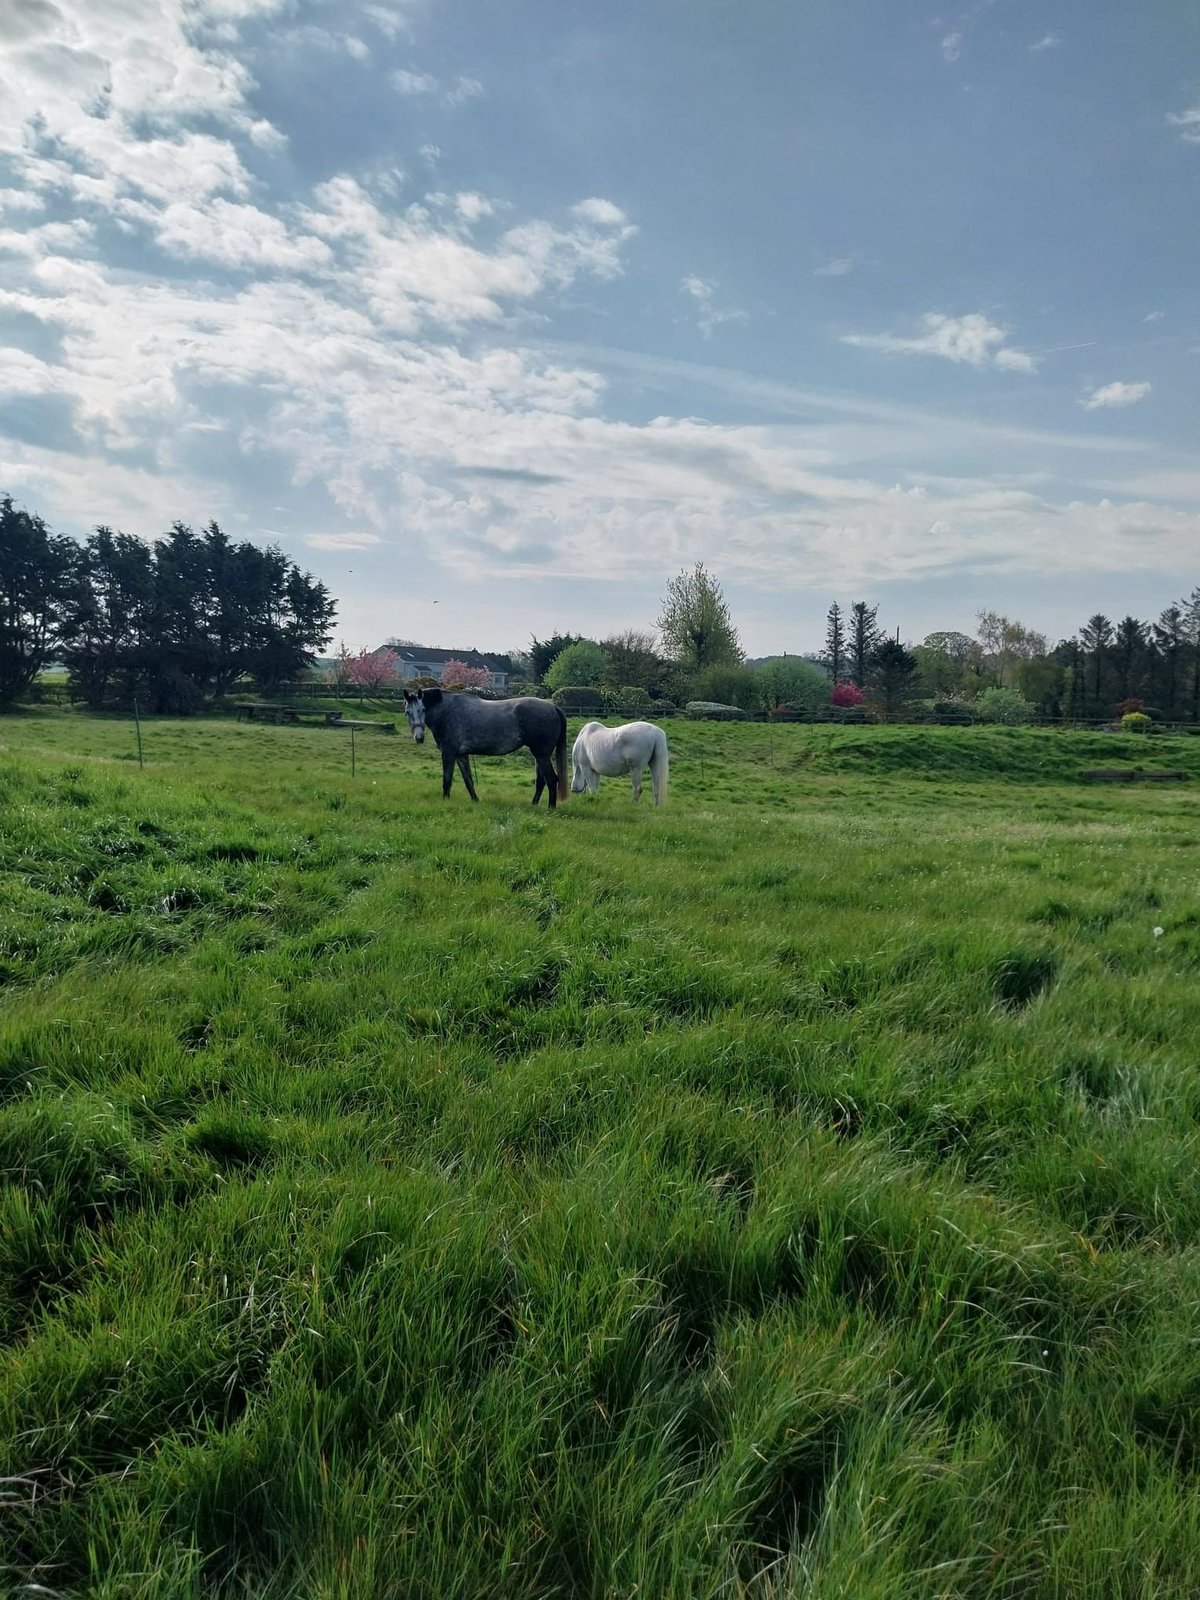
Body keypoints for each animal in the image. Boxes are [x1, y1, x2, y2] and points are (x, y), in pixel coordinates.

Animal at [403, 688, 569, 808]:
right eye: (407, 712)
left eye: (423, 710)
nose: (419, 737)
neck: (447, 712)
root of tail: (553, 707)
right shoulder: (461, 755)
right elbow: (468, 780)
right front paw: (475, 800)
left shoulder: (448, 753)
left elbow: (447, 779)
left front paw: (445, 800)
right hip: (539, 756)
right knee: (541, 781)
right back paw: (533, 805)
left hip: (542, 755)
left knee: (551, 779)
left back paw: (551, 808)